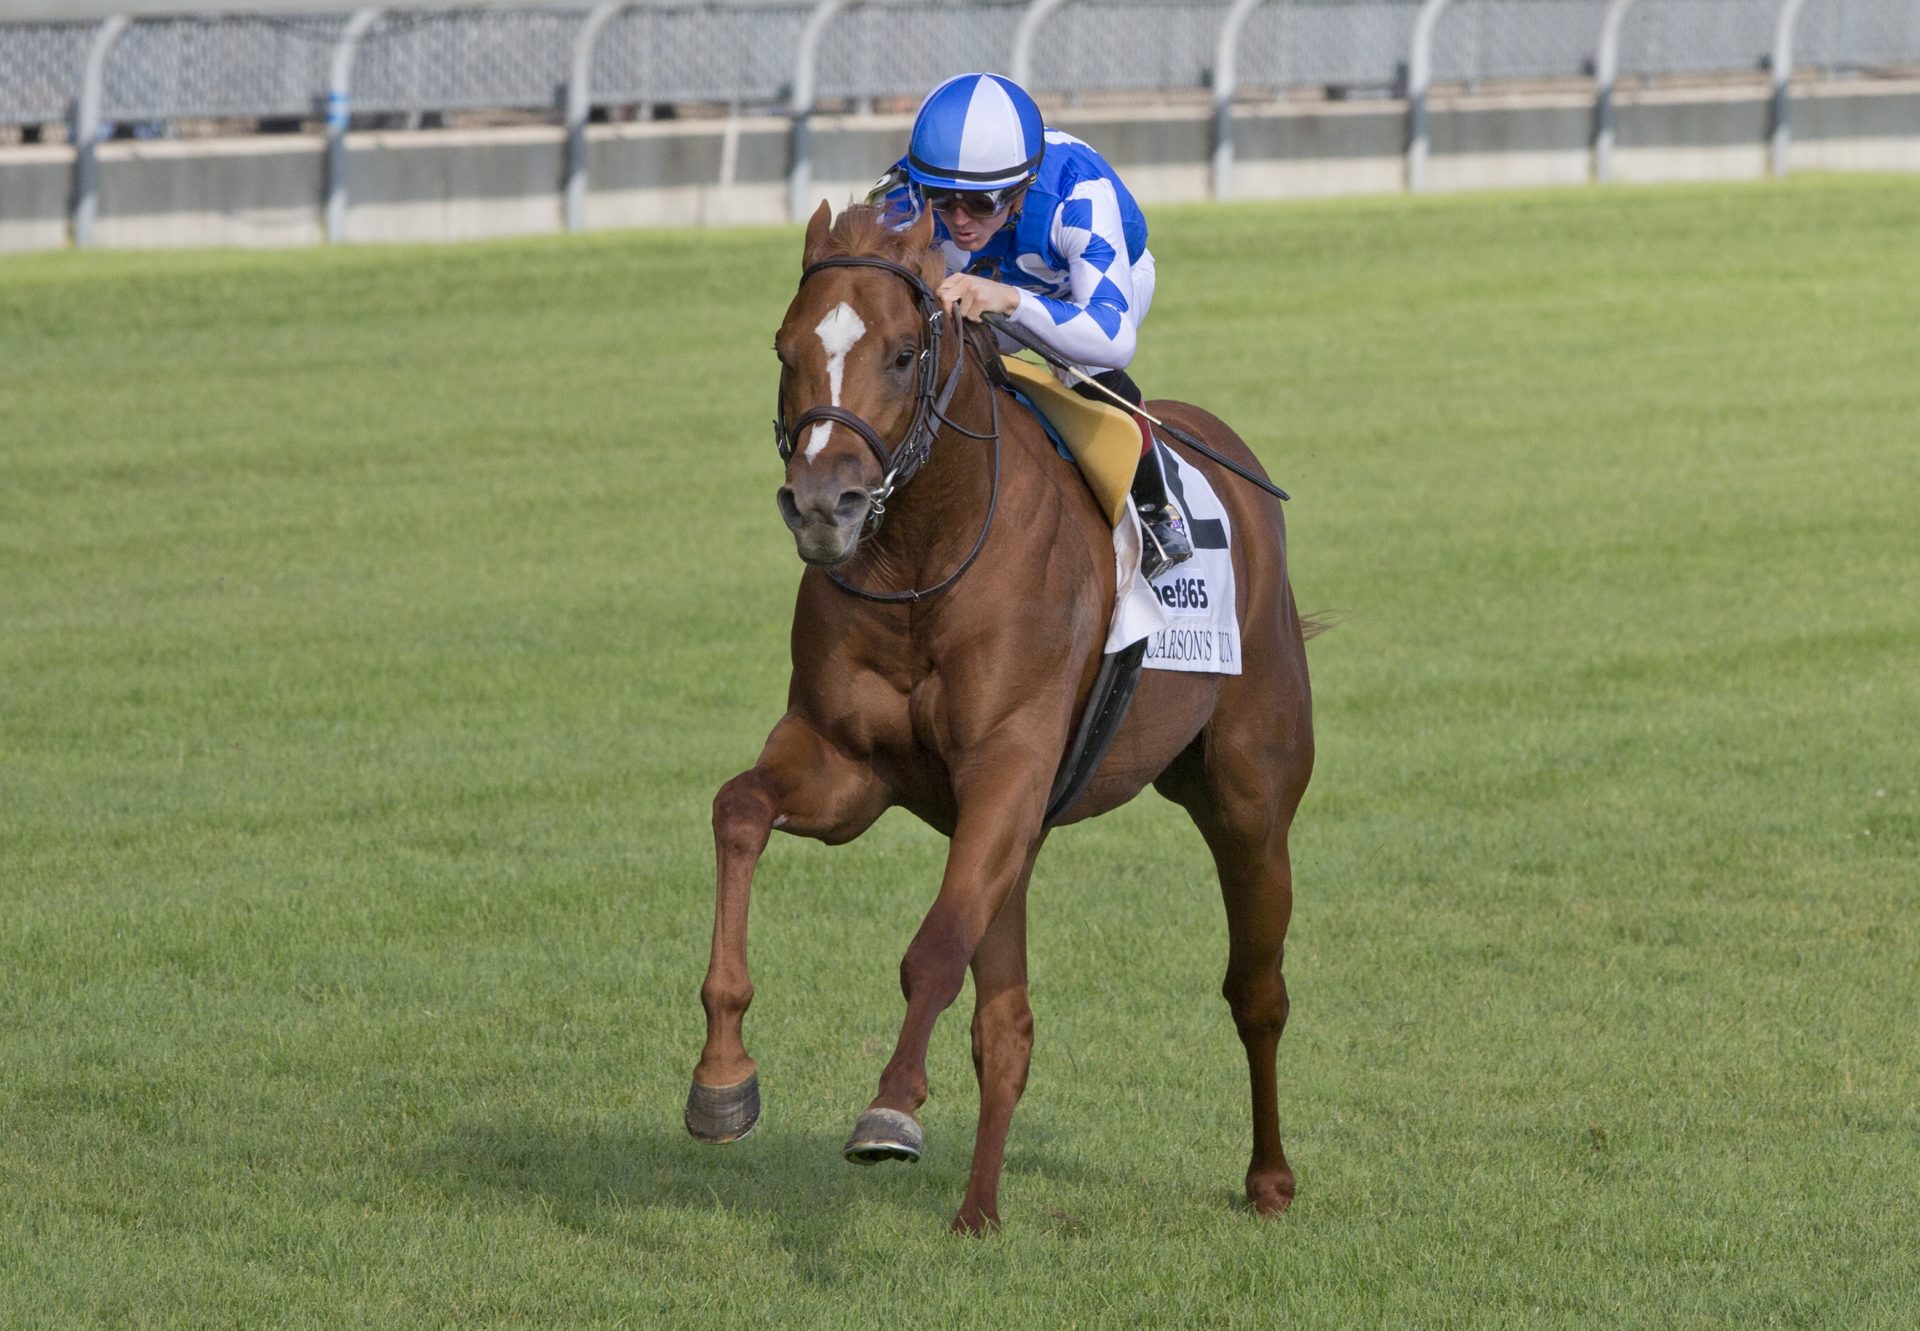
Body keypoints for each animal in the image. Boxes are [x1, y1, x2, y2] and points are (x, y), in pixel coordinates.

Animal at [683, 199, 1313, 1236]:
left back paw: (1269, 1178)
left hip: (1250, 801)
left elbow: (935, 948)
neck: (923, 560)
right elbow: (739, 808)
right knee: (1007, 1024)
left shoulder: (1006, 768)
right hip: (1026, 831)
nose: (823, 506)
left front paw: (891, 1106)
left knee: (1256, 991)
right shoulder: (849, 765)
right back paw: (978, 1211)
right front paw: (723, 1075)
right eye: (784, 347)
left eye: (903, 353)